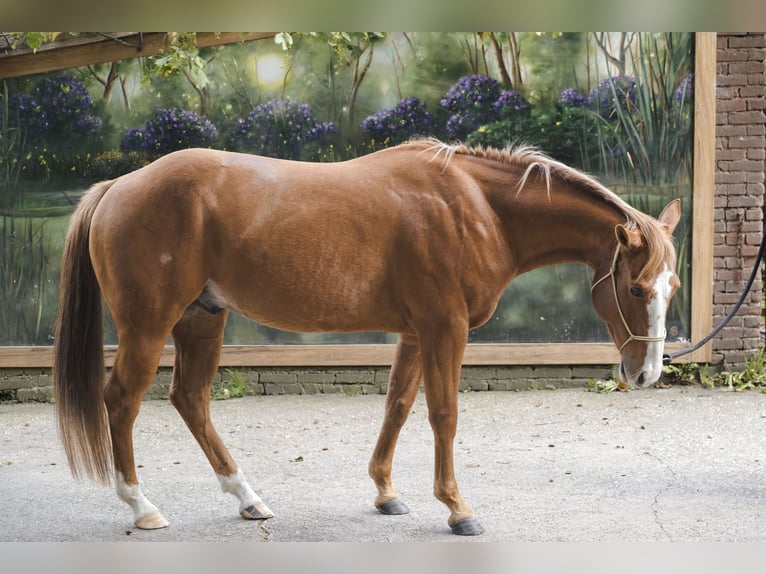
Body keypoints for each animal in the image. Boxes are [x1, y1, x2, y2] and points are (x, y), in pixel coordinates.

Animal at [53, 139, 680, 536]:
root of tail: (120, 185)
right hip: (149, 325)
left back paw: (248, 498)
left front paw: (386, 493)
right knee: (123, 402)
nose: (647, 374)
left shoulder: (415, 332)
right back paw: (142, 506)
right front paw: (457, 509)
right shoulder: (444, 328)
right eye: (636, 288)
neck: (477, 207)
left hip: (202, 319)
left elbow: (397, 406)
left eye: (672, 285)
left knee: (190, 399)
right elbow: (443, 414)